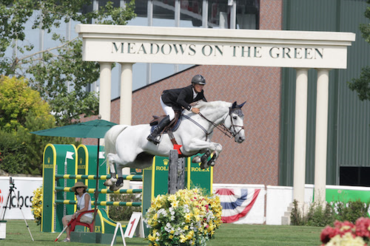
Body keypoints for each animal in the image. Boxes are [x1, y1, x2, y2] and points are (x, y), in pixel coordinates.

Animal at [103, 100, 246, 190]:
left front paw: (204, 161)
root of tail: (125, 129)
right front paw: (208, 161)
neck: (201, 122)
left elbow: (213, 147)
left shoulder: (198, 145)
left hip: (140, 161)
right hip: (127, 156)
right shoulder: (188, 146)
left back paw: (118, 183)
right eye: (234, 117)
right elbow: (216, 146)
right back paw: (112, 179)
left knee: (119, 164)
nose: (241, 138)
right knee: (111, 157)